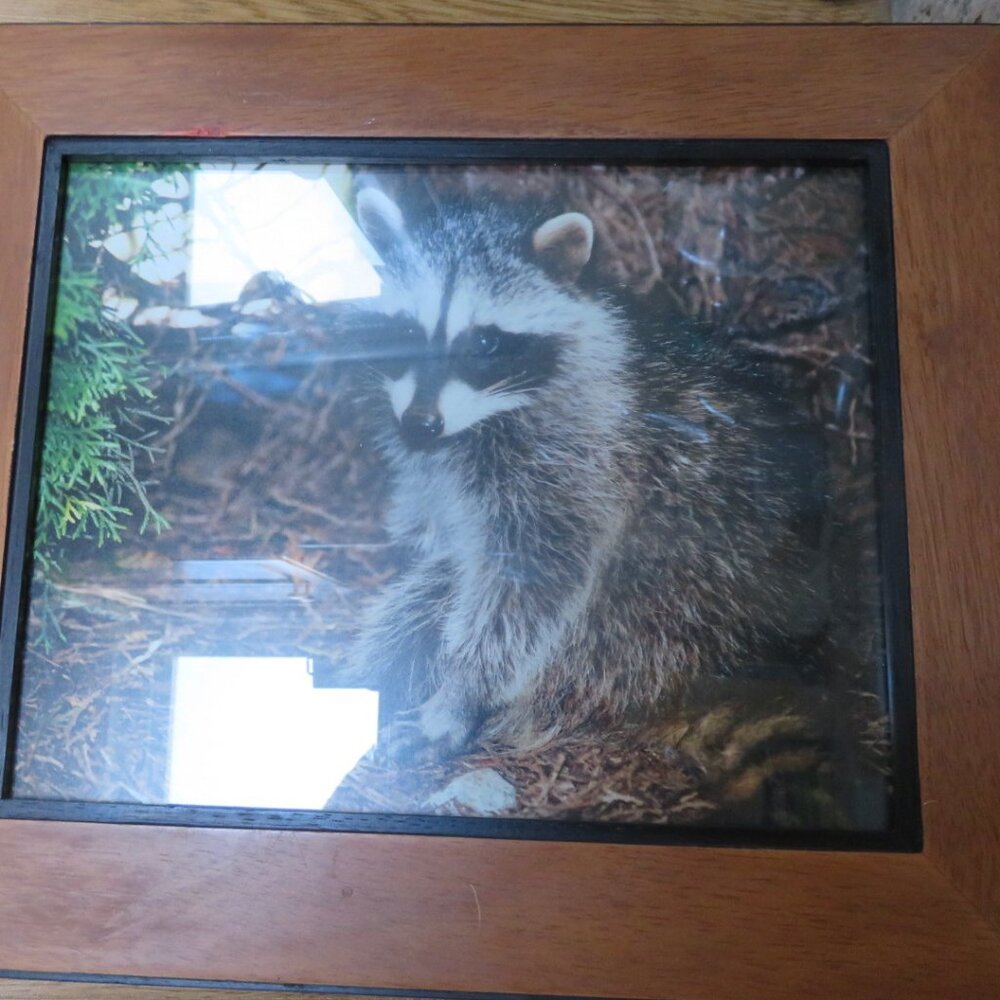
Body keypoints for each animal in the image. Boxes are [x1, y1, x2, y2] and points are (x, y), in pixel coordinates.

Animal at [343, 186, 827, 759]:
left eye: (483, 343)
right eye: (407, 330)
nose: (420, 424)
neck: (482, 416)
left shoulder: (577, 459)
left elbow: (532, 582)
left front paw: (462, 692)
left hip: (654, 624)